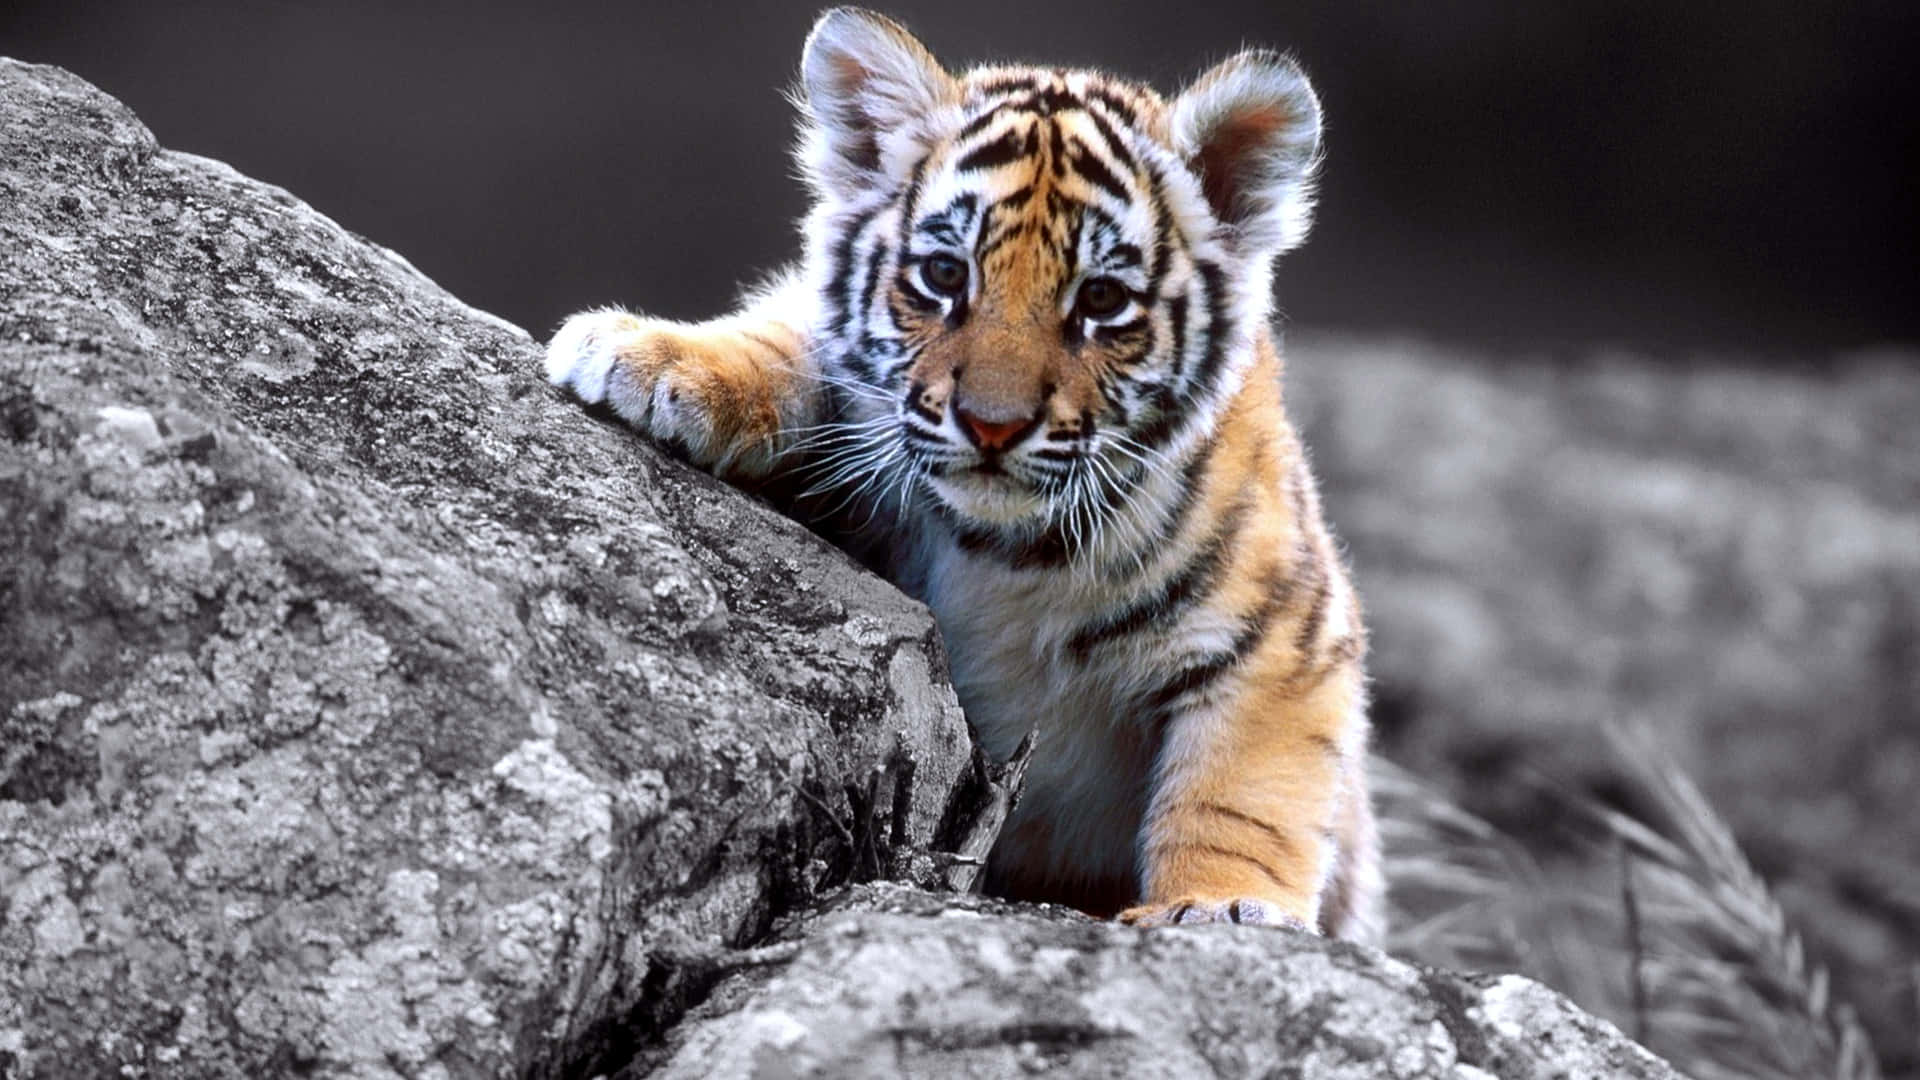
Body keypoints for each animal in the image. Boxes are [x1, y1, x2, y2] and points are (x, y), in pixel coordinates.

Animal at [545, 7, 1383, 941]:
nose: (992, 424)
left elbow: (1241, 794)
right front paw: (647, 355)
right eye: (945, 275)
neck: (1007, 553)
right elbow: (790, 341)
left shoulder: (1286, 637)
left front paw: (1220, 906)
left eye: (1101, 301)